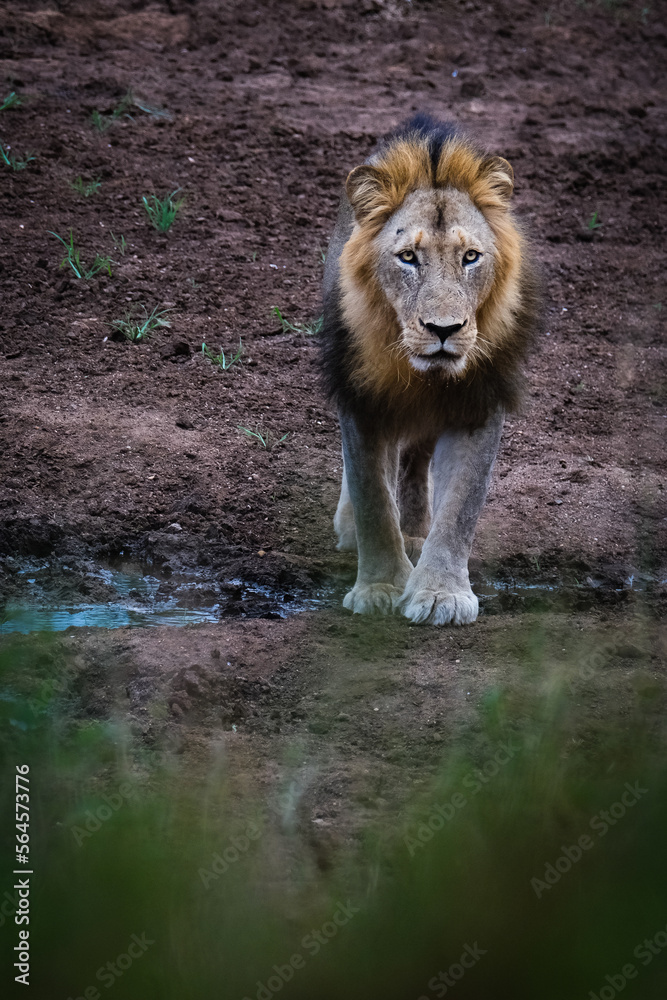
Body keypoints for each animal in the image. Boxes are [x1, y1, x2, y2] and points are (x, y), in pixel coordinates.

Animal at [321, 114, 540, 625]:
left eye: (470, 257)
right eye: (408, 258)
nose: (444, 329)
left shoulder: (478, 403)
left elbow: (460, 506)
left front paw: (441, 592)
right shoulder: (361, 401)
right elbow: (372, 497)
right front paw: (380, 586)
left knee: (416, 461)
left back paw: (417, 531)